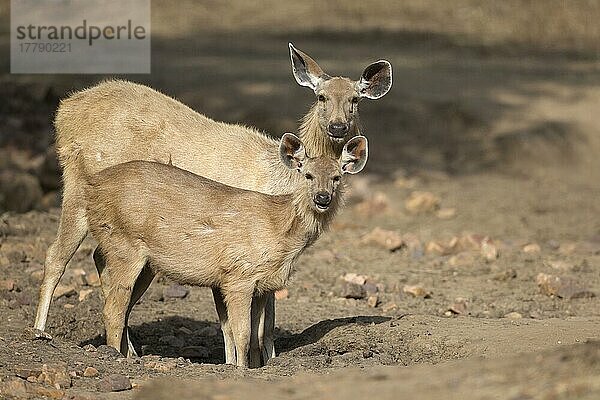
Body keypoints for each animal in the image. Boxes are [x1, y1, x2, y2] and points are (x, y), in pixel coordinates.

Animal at [86, 134, 368, 366]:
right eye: (307, 175)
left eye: (337, 177)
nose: (322, 198)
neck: (279, 229)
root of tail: (93, 184)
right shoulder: (239, 275)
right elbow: (242, 333)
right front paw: (241, 369)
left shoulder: (263, 283)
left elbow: (258, 333)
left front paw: (252, 365)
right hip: (124, 244)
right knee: (113, 308)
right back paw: (115, 357)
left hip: (145, 263)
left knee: (113, 291)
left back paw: (129, 354)